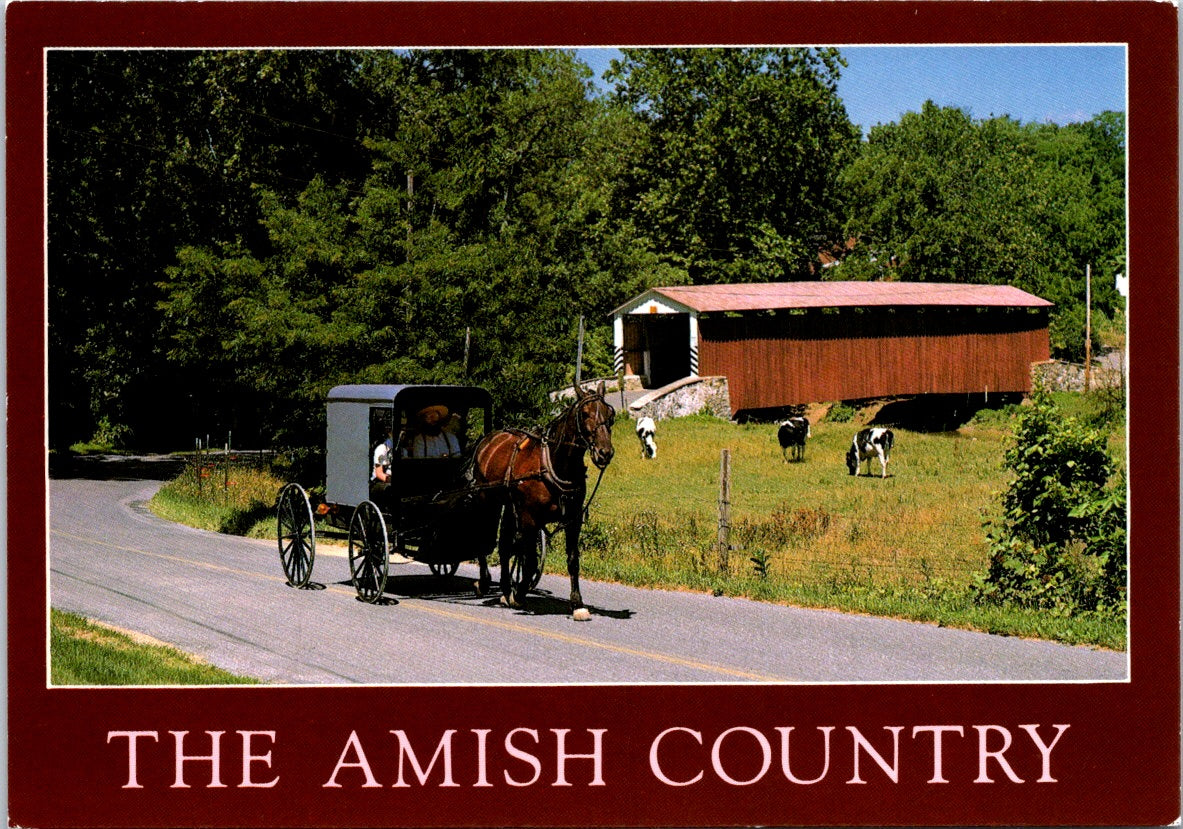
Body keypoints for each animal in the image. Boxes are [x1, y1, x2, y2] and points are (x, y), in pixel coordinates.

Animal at [470, 380, 619, 614]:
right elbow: (530, 561)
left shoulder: (573, 519)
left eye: (610, 414)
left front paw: (577, 602)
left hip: (510, 506)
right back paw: (486, 582)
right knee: (483, 538)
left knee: (505, 546)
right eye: (585, 413)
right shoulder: (529, 518)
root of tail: (489, 440)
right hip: (486, 500)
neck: (554, 464)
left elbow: (572, 559)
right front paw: (519, 594)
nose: (605, 452)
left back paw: (505, 589)